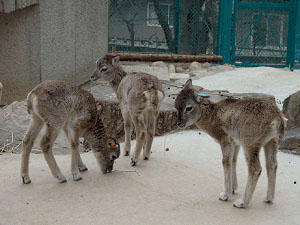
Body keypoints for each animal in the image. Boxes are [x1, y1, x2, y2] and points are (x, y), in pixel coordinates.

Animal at [176, 79, 286, 209]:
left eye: (188, 108)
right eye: (176, 106)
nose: (179, 123)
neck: (212, 116)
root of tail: (277, 118)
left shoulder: (224, 139)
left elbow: (225, 162)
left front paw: (225, 194)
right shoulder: (235, 142)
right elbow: (233, 161)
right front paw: (233, 188)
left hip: (250, 143)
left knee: (255, 169)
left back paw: (242, 202)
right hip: (272, 141)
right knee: (272, 165)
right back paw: (268, 198)